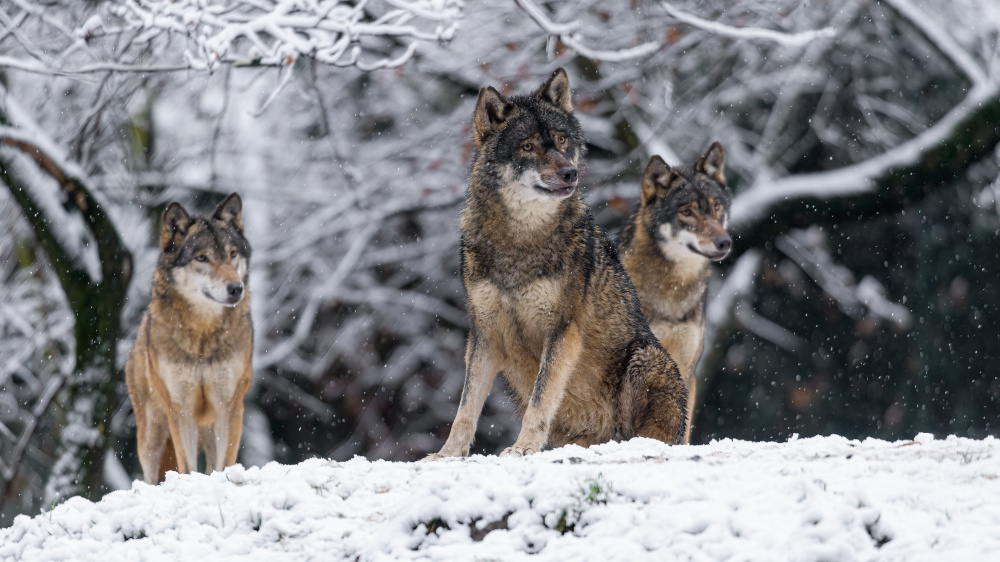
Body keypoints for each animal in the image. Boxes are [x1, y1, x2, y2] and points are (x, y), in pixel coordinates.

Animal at [124, 192, 254, 482]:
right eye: (202, 258)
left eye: (232, 254)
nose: (236, 288)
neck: (202, 335)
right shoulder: (180, 409)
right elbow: (187, 464)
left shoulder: (230, 406)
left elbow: (225, 463)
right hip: (151, 440)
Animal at [426, 68, 692, 458]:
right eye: (528, 146)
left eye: (562, 140)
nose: (570, 173)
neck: (520, 240)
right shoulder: (485, 334)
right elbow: (465, 407)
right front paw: (447, 454)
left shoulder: (562, 330)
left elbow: (540, 399)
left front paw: (522, 448)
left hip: (646, 357)